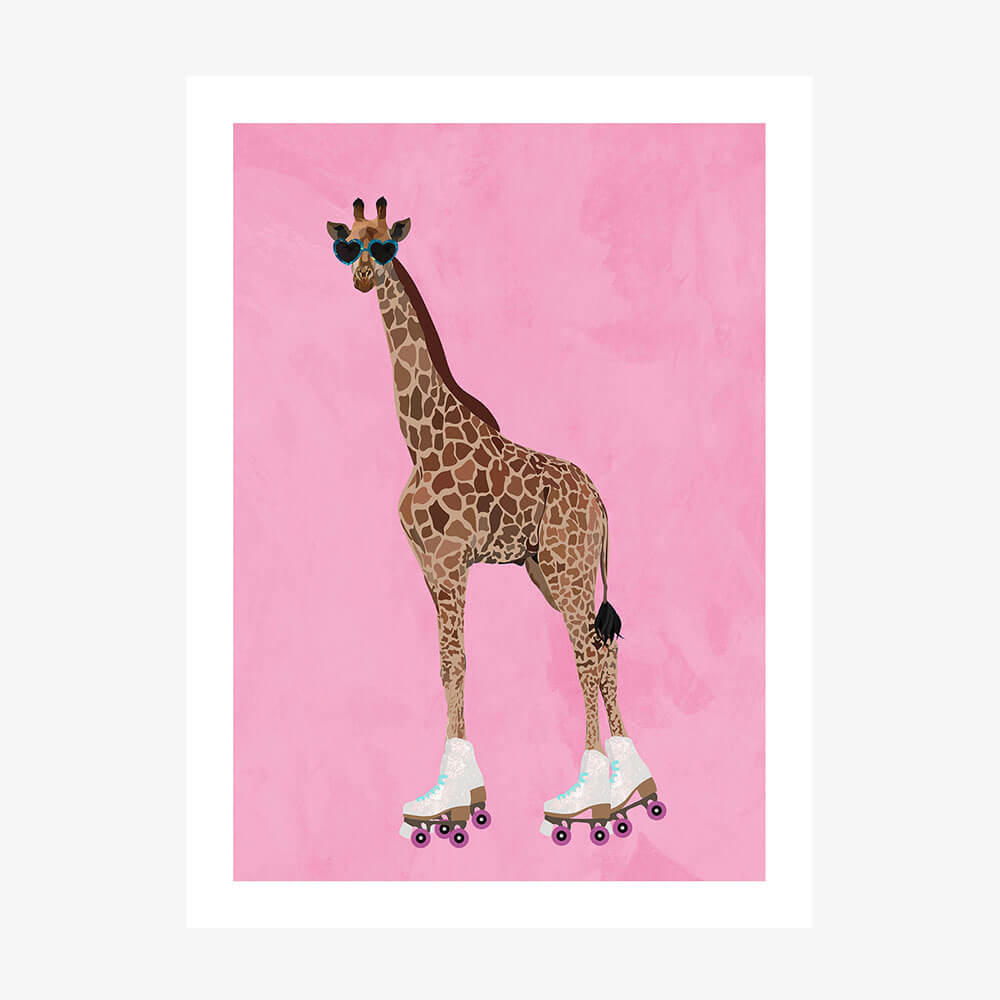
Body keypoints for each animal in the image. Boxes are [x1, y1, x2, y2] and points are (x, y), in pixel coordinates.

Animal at [326, 197, 665, 848]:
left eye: (385, 246)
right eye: (346, 244)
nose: (361, 276)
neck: (421, 440)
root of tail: (601, 501)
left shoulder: (452, 560)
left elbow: (457, 662)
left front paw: (457, 803)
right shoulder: (429, 566)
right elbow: (445, 664)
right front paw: (444, 798)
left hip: (568, 567)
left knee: (587, 655)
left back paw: (590, 803)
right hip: (547, 572)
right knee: (601, 649)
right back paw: (632, 788)